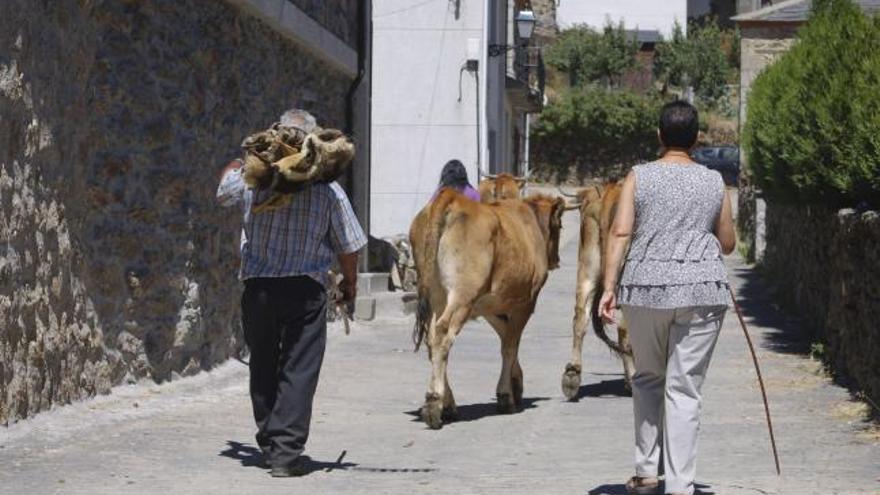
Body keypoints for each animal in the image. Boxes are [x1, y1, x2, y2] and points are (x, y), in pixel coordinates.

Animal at [410, 190, 568, 430]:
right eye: (558, 225)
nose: (556, 261)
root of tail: (452, 197)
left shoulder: (488, 305)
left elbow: (506, 336)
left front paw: (516, 382)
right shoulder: (525, 304)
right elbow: (510, 346)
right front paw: (506, 396)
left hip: (437, 296)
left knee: (431, 340)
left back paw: (448, 404)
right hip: (462, 296)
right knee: (443, 334)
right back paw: (434, 404)